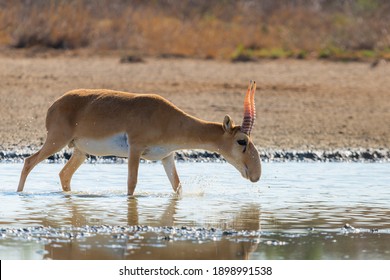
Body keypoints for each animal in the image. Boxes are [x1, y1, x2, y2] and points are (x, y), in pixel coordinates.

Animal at [18, 81, 262, 195]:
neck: (167, 118)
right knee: (29, 161)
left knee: (64, 174)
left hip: (80, 152)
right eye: (242, 141)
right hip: (56, 142)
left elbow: (177, 187)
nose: (256, 174)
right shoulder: (135, 150)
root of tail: (54, 104)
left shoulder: (167, 157)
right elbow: (132, 184)